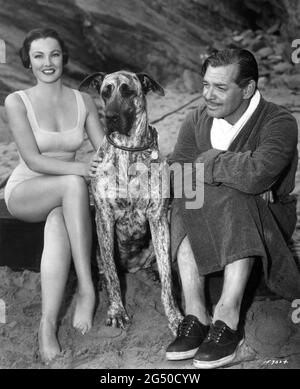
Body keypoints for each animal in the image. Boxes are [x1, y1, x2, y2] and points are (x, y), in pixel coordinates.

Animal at [79, 69, 183, 334]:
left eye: (128, 91)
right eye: (105, 92)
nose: (111, 118)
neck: (129, 150)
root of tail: (132, 267)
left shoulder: (158, 217)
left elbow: (168, 282)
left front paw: (175, 317)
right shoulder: (104, 217)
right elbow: (113, 276)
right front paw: (117, 311)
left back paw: (152, 272)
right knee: (105, 268)